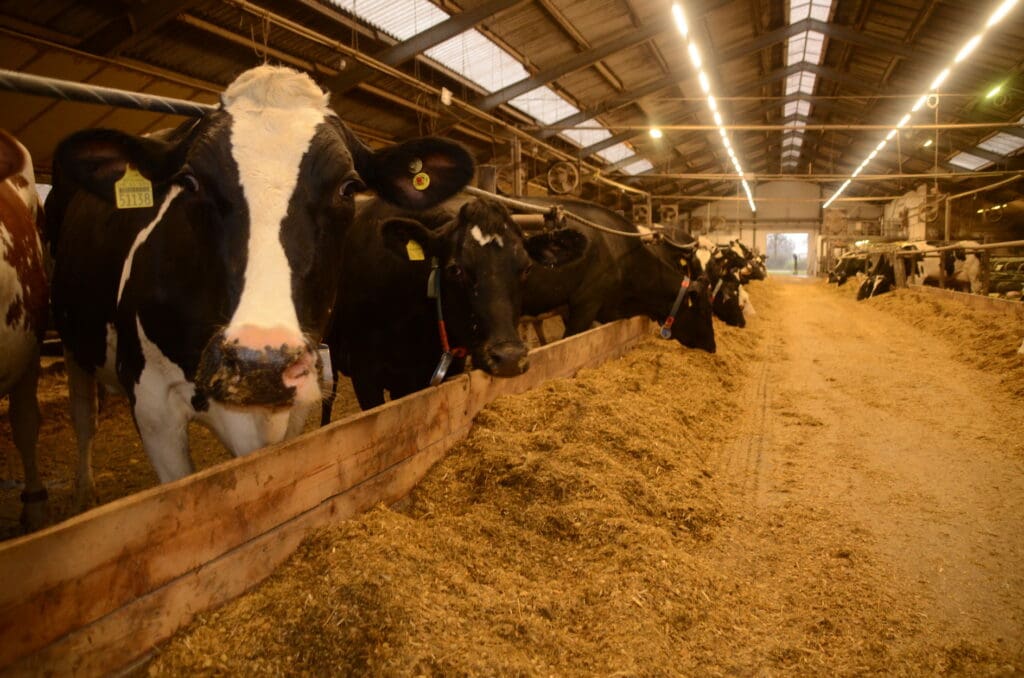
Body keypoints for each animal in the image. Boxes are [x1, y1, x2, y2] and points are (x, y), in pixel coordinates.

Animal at [47, 66, 475, 510]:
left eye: (348, 187)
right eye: (191, 182)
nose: (260, 364)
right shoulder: (152, 405)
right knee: (83, 414)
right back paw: (84, 491)